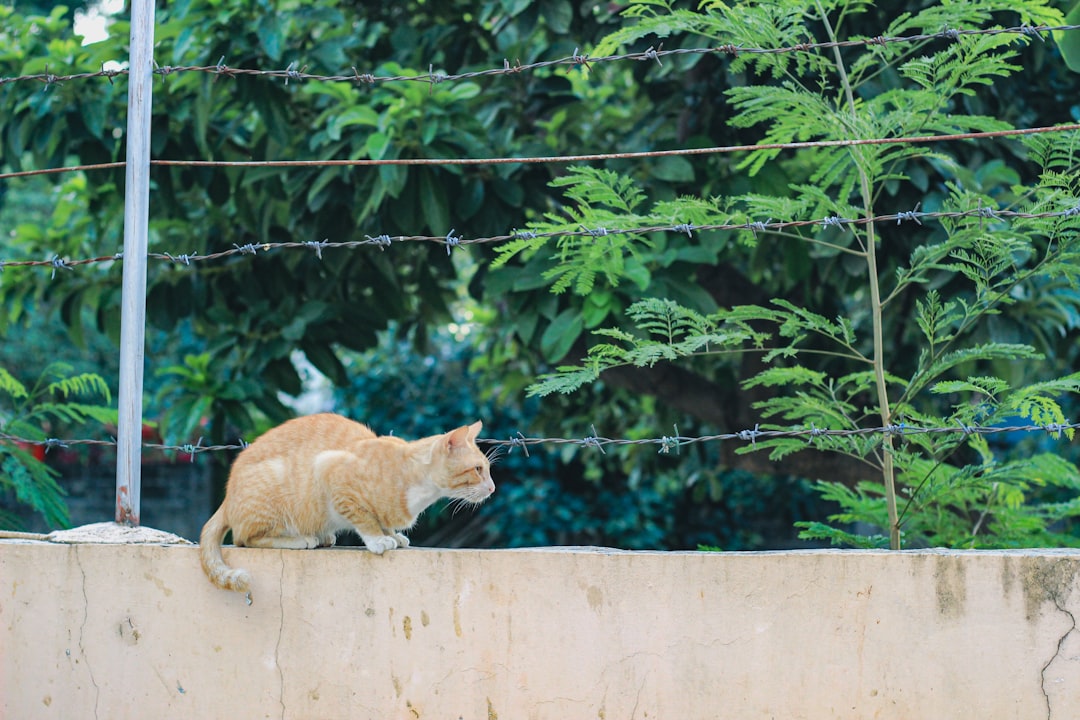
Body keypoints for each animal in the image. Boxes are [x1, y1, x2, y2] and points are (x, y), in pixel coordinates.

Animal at [198, 414, 494, 600]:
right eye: (478, 470)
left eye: (488, 469)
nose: (492, 488)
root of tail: (227, 498)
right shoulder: (330, 471)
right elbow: (364, 518)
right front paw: (378, 539)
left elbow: (383, 521)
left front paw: (392, 535)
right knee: (245, 537)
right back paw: (300, 539)